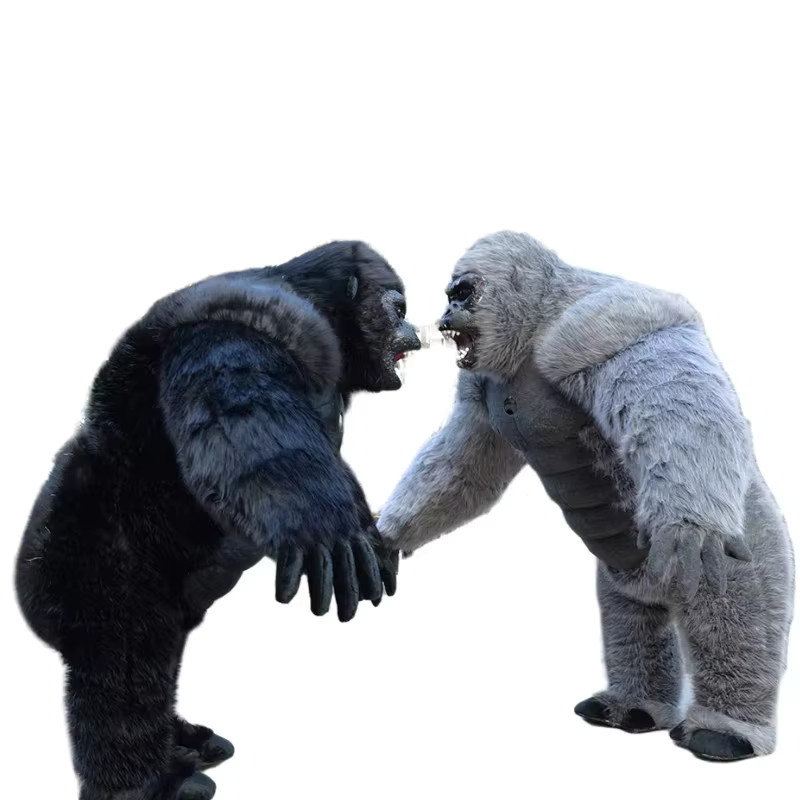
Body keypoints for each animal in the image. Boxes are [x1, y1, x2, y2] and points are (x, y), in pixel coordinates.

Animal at [16, 241, 420, 799]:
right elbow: (242, 415)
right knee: (124, 680)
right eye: (396, 308)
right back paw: (147, 783)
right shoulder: (244, 331)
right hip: (92, 576)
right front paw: (326, 519)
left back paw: (185, 743)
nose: (416, 332)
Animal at [377, 231, 793, 762]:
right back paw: (632, 705)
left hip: (744, 544)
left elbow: (673, 393)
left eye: (463, 292)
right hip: (630, 580)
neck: (535, 326)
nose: (447, 313)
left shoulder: (598, 329)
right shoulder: (480, 383)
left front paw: (689, 526)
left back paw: (726, 729)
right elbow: (464, 461)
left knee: (736, 619)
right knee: (631, 621)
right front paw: (388, 537)